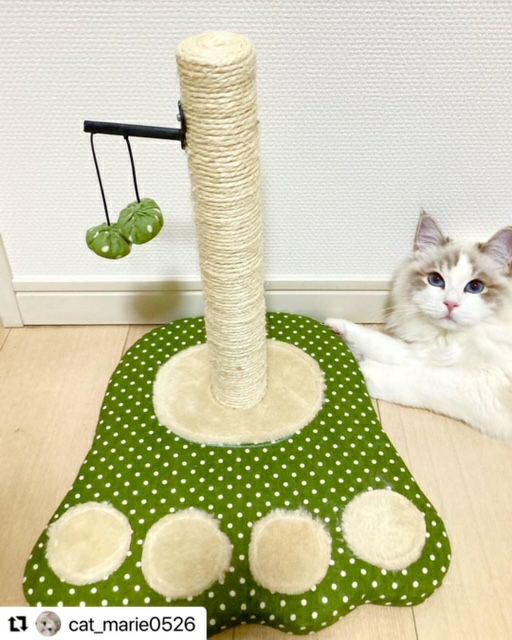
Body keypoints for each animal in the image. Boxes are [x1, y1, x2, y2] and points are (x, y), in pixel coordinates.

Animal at [325, 212, 512, 442]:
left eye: (475, 287)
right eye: (435, 280)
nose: (450, 304)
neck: (450, 338)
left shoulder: (487, 385)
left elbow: (422, 379)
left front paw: (362, 370)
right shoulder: (425, 352)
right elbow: (382, 344)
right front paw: (336, 328)